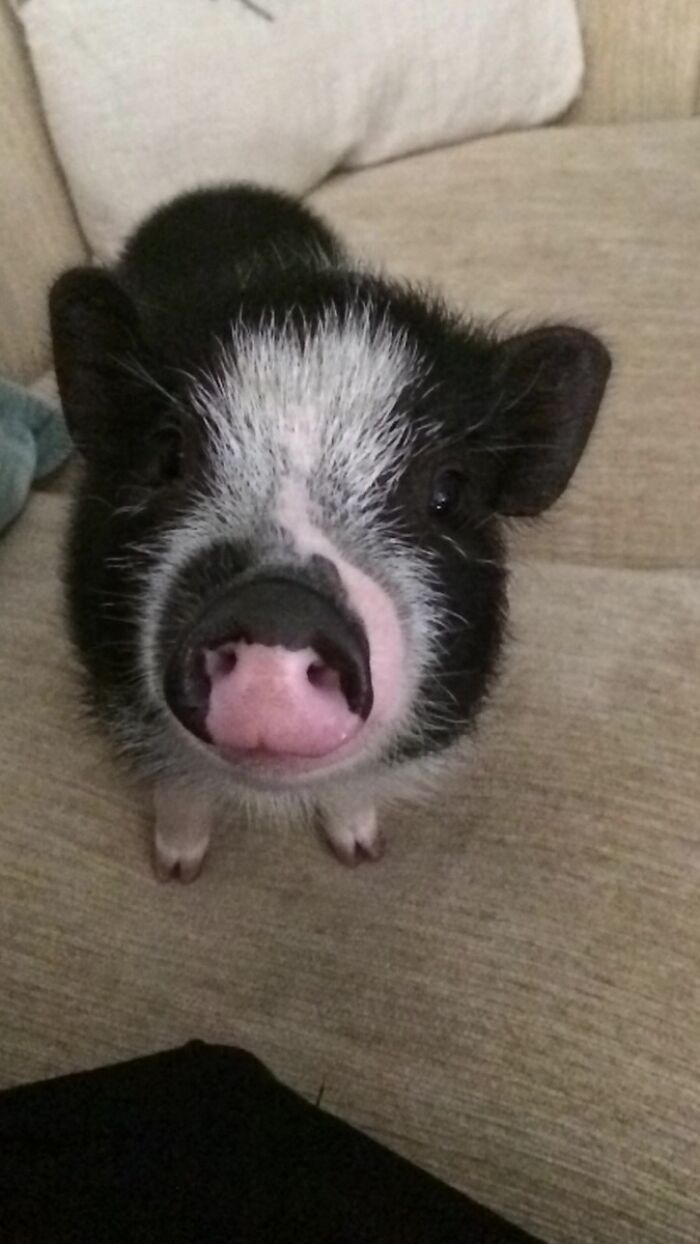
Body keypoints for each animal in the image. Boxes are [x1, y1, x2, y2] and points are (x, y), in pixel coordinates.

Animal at [50, 185, 610, 880]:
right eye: (168, 454)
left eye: (448, 491)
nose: (278, 605)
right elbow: (179, 787)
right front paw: (176, 873)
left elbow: (351, 790)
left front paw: (362, 854)